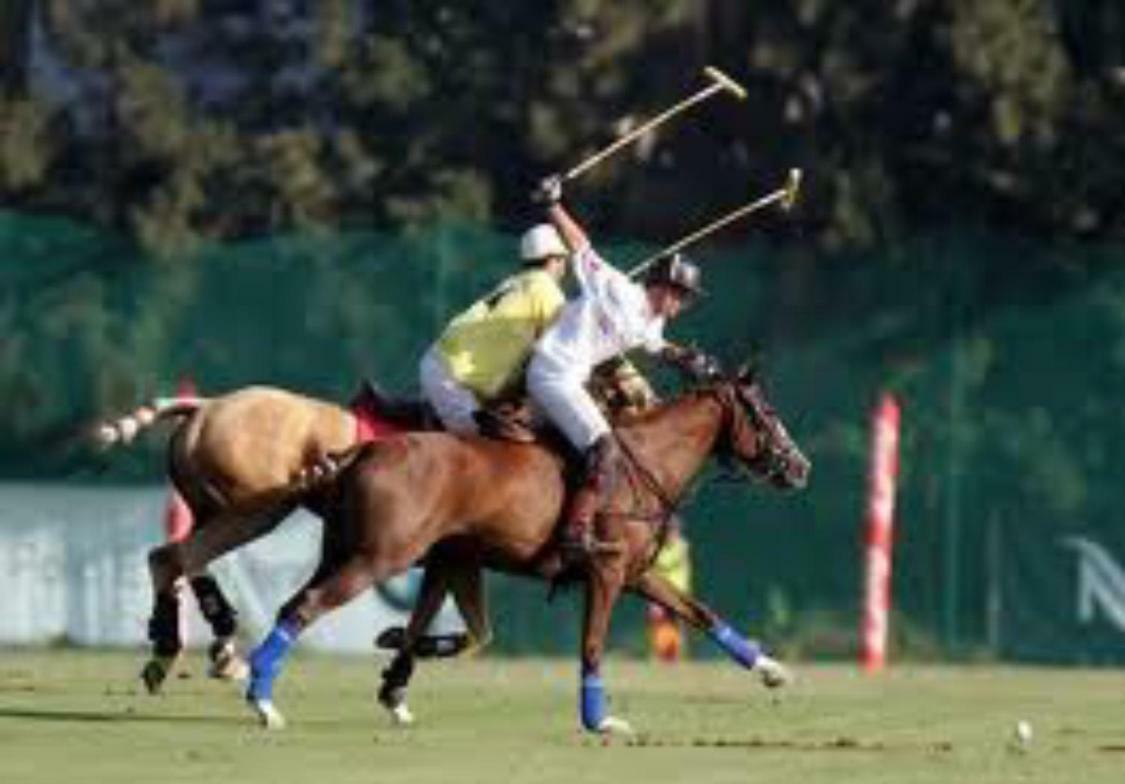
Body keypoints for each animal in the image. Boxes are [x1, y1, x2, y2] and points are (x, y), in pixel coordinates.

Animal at [244, 368, 810, 733]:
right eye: (765, 412)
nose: (799, 466)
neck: (644, 463)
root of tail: (361, 451)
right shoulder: (606, 571)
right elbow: (591, 645)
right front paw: (599, 720)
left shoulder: (632, 571)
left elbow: (699, 610)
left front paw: (770, 668)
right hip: (377, 558)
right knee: (305, 607)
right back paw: (263, 702)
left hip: (351, 553)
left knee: (292, 604)